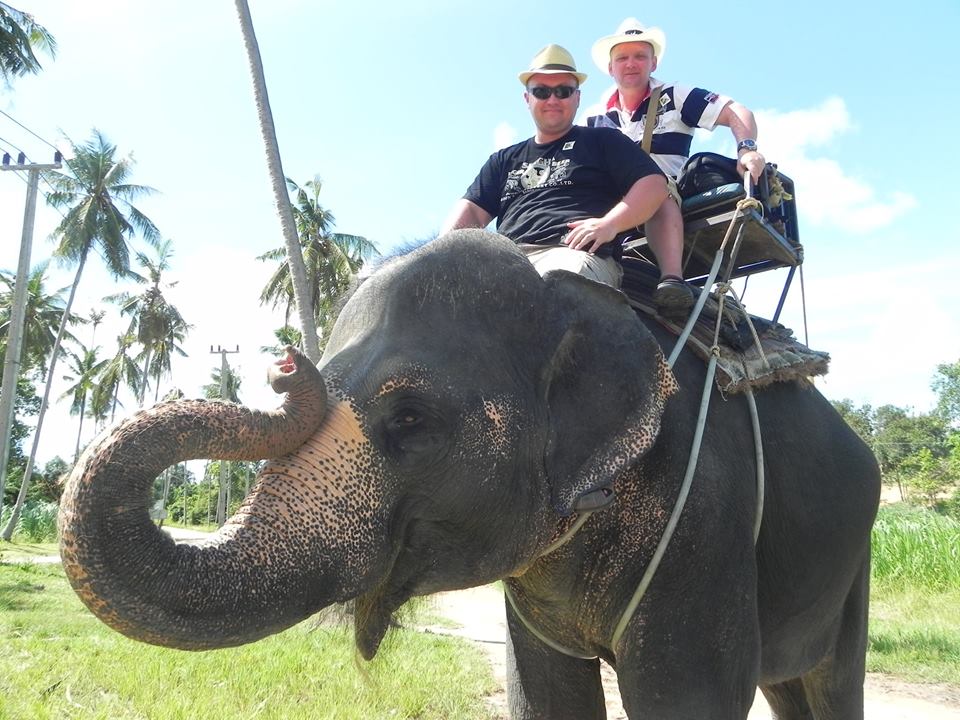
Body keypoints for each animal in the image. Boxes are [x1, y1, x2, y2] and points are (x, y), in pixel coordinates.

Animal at [60, 231, 880, 720]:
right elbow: (544, 699)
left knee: (832, 686)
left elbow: (689, 697)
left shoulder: (704, 518)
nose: (287, 366)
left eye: (409, 419)